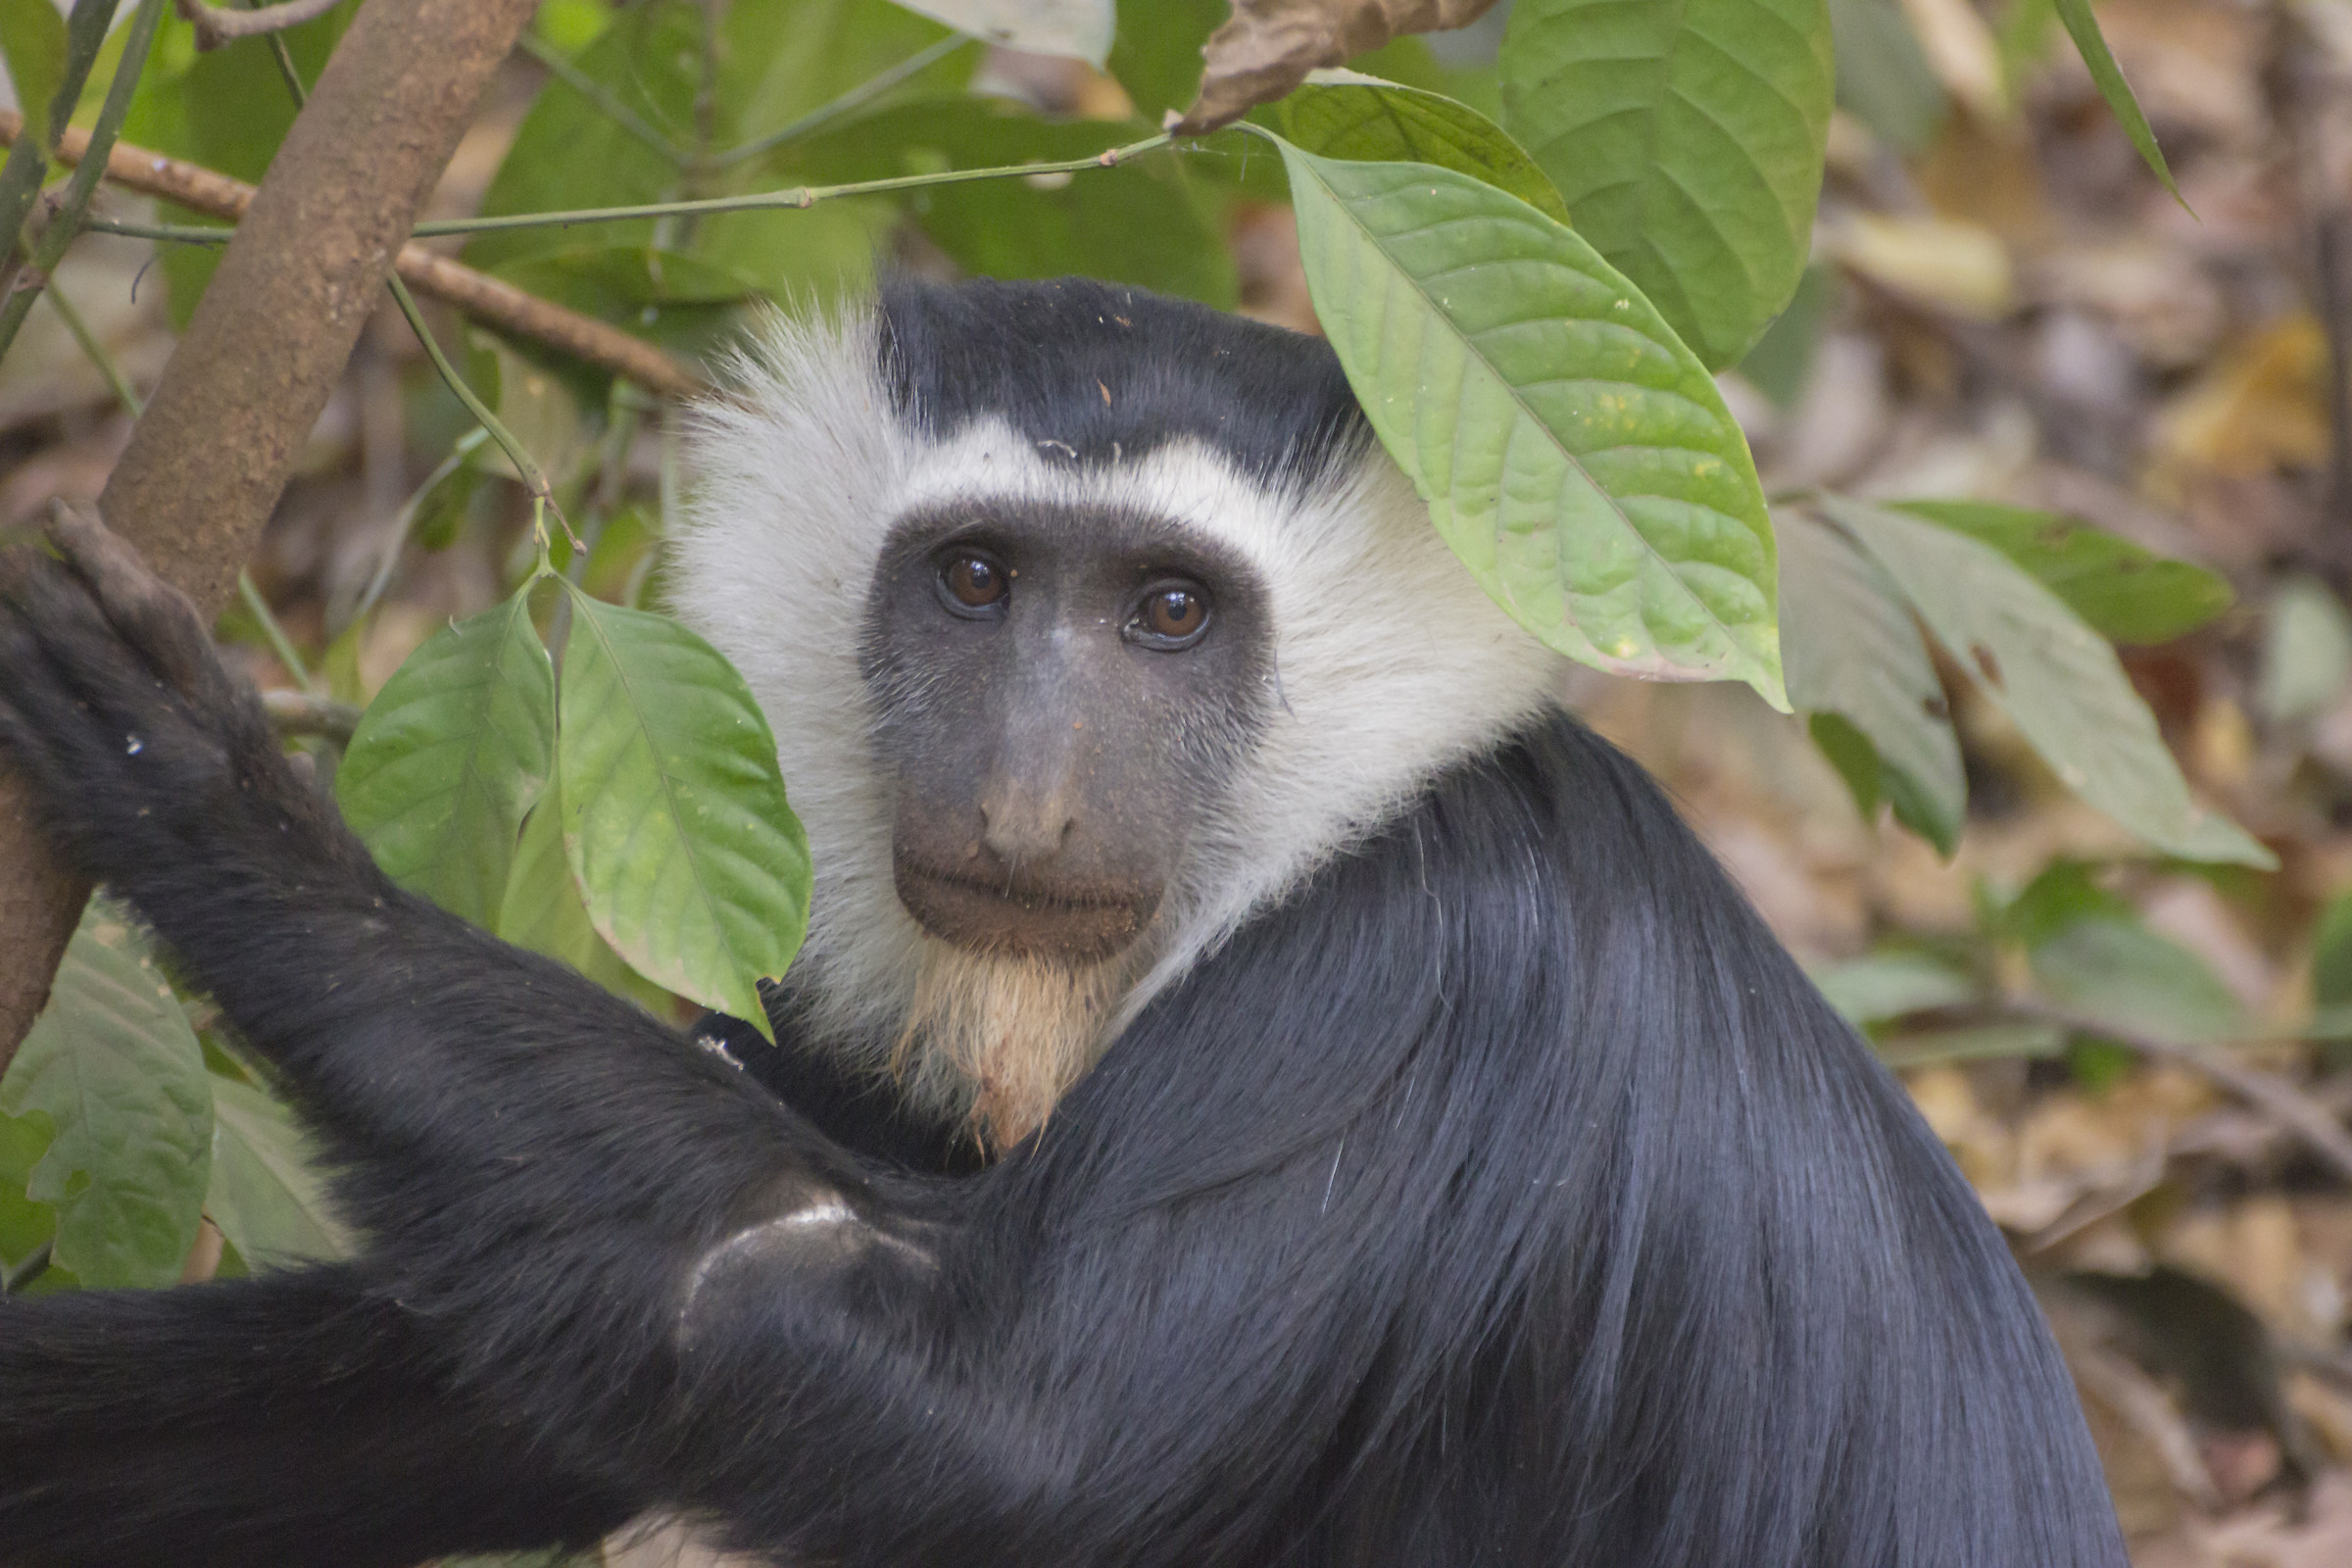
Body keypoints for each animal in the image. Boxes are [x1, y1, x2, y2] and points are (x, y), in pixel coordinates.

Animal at [0, 275, 2127, 1567]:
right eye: (975, 580)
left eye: (1168, 615)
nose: (1025, 798)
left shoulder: (1415, 981)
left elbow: (979, 1406)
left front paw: (218, 809)